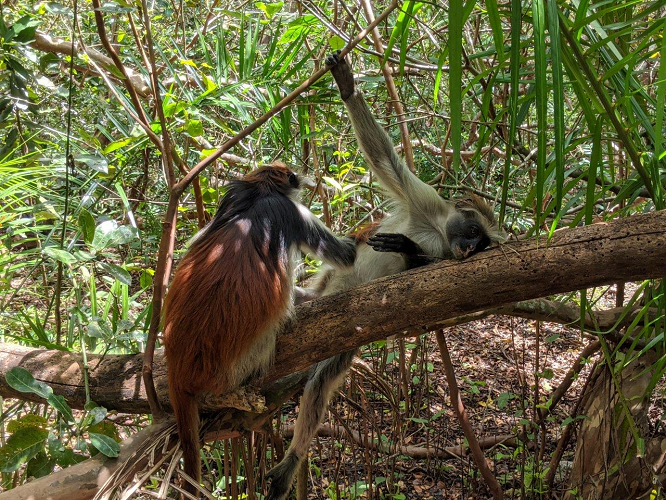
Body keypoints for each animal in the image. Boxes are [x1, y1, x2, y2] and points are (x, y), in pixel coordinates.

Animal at [161, 163, 356, 496]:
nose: (300, 177)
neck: (258, 194)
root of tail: (179, 365)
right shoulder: (292, 211)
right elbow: (346, 256)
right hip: (244, 361)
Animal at [264, 51, 504, 500]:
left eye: (480, 244)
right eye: (474, 232)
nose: (468, 250)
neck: (437, 229)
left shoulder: (443, 253)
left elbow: (435, 292)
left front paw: (409, 251)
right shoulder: (424, 199)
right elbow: (384, 160)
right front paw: (346, 85)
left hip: (343, 331)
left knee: (322, 380)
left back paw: (291, 461)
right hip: (327, 291)